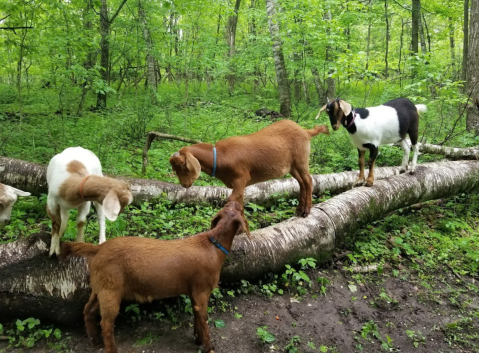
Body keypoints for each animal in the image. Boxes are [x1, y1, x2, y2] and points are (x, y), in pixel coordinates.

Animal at [60, 199, 251, 352]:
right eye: (241, 210)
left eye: (231, 207)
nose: (237, 200)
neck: (213, 245)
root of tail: (98, 249)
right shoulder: (202, 290)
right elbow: (203, 318)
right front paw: (208, 346)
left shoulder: (193, 292)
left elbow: (196, 316)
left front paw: (197, 339)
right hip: (111, 291)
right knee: (106, 323)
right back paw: (111, 348)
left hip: (99, 286)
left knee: (88, 310)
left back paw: (95, 342)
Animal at [169, 119, 330, 216]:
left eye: (183, 166)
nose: (184, 185)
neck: (220, 156)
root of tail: (306, 131)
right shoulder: (239, 185)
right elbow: (239, 202)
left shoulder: (241, 178)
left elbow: (231, 201)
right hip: (292, 167)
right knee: (302, 182)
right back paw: (299, 209)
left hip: (301, 160)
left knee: (308, 180)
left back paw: (306, 211)